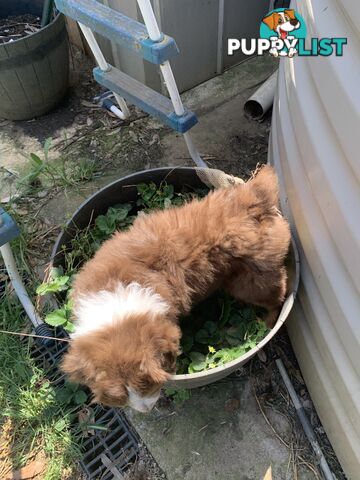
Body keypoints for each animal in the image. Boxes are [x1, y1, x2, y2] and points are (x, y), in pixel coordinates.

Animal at [62, 166, 292, 412]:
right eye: (119, 396)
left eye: (147, 384)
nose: (145, 410)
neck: (118, 292)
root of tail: (253, 197)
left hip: (250, 282)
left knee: (279, 296)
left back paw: (266, 324)